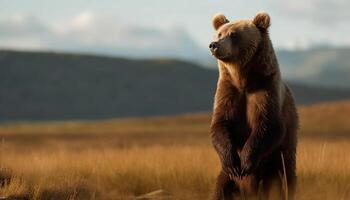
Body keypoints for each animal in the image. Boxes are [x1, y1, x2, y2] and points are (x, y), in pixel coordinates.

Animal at [208, 11, 298, 199]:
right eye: (219, 33)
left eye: (233, 34)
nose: (214, 45)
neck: (244, 80)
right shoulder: (228, 92)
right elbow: (220, 125)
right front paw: (234, 163)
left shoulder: (265, 90)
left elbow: (268, 126)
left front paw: (245, 162)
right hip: (227, 179)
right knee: (220, 189)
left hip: (278, 165)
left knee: (284, 184)